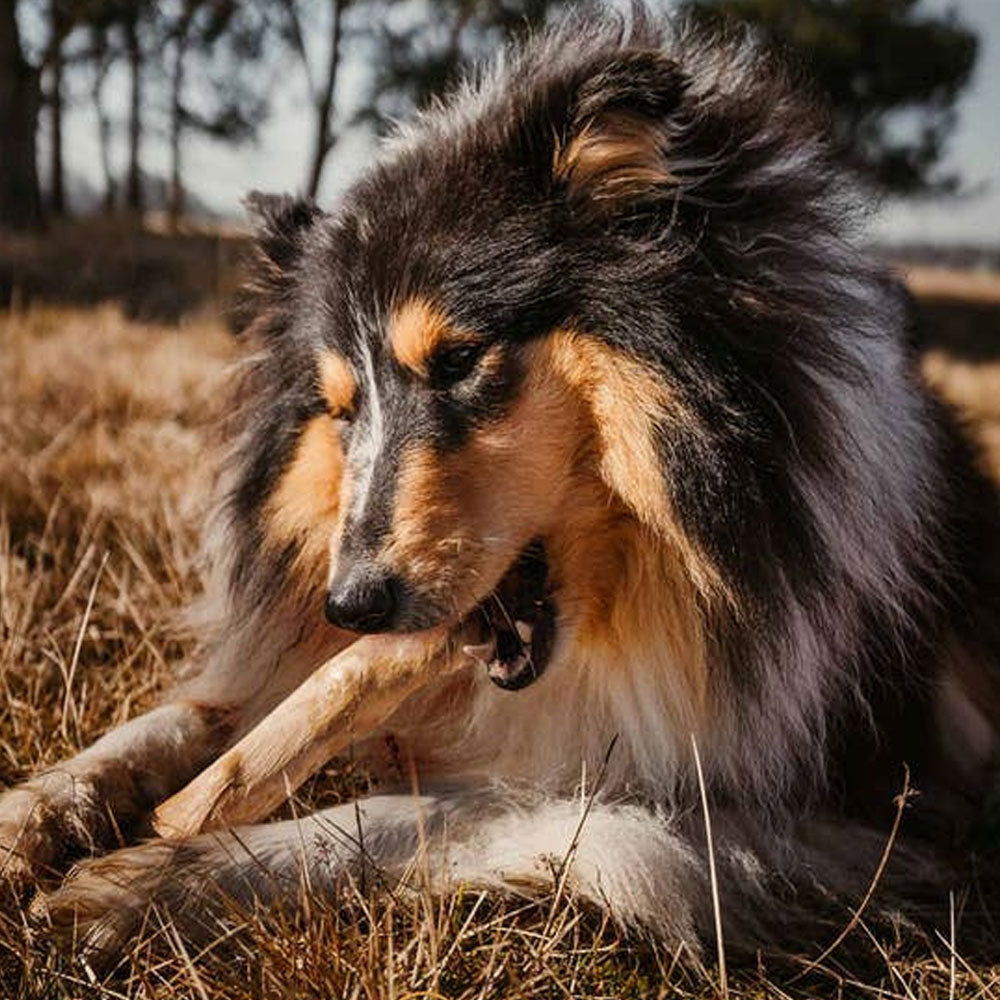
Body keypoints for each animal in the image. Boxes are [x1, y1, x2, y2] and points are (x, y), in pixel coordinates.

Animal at [1, 5, 1000, 960]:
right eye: (341, 408)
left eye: (459, 360)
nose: (351, 608)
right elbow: (177, 719)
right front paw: (32, 812)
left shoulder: (808, 809)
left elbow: (420, 813)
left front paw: (153, 873)